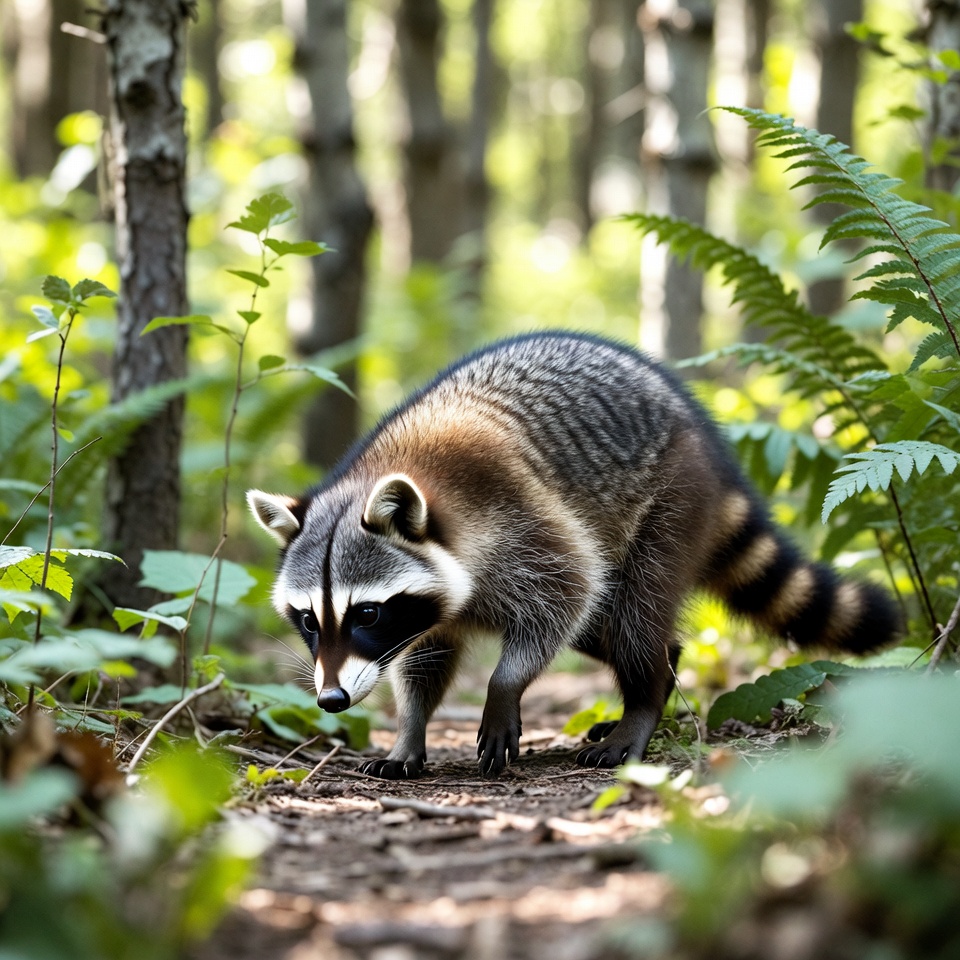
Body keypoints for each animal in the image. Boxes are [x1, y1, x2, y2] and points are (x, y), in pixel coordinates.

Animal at [248, 332, 898, 779]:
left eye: (366, 613)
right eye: (309, 621)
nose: (331, 699)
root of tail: (706, 438)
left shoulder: (520, 519)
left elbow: (566, 591)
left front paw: (503, 687)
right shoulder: (430, 608)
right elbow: (423, 661)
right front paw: (410, 732)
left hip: (674, 497)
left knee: (631, 612)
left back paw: (643, 696)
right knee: (604, 624)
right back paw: (663, 670)